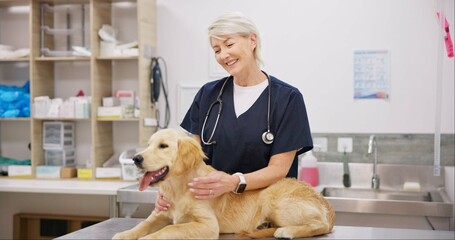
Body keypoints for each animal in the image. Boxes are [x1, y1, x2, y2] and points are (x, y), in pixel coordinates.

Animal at [114, 128, 334, 239]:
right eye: (149, 144)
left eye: (163, 146)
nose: (136, 158)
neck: (179, 188)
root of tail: (325, 203)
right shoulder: (160, 214)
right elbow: (142, 224)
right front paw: (124, 234)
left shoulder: (208, 225)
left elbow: (169, 230)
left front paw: (147, 238)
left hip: (274, 200)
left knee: (321, 225)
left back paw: (287, 231)